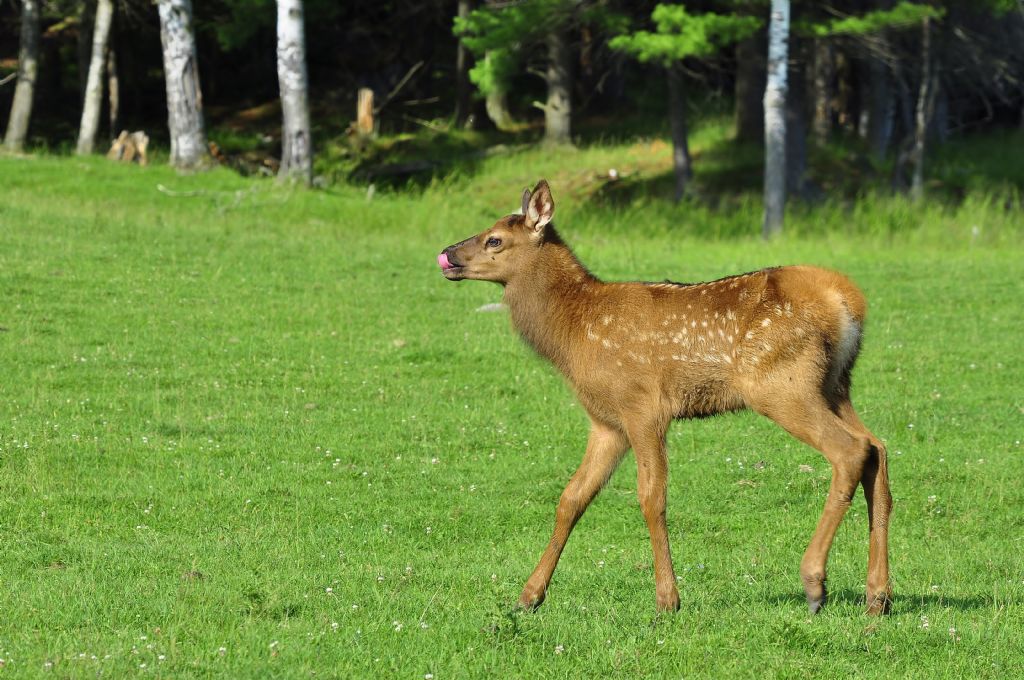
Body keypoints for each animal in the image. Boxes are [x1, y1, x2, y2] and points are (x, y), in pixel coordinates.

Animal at [436, 180, 892, 614]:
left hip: (783, 384)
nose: (447, 255)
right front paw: (529, 596)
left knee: (850, 450)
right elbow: (572, 497)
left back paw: (815, 582)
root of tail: (848, 302)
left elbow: (651, 497)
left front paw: (667, 600)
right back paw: (878, 597)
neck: (573, 332)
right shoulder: (607, 422)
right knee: (877, 447)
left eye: (495, 240)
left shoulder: (642, 406)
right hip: (834, 385)